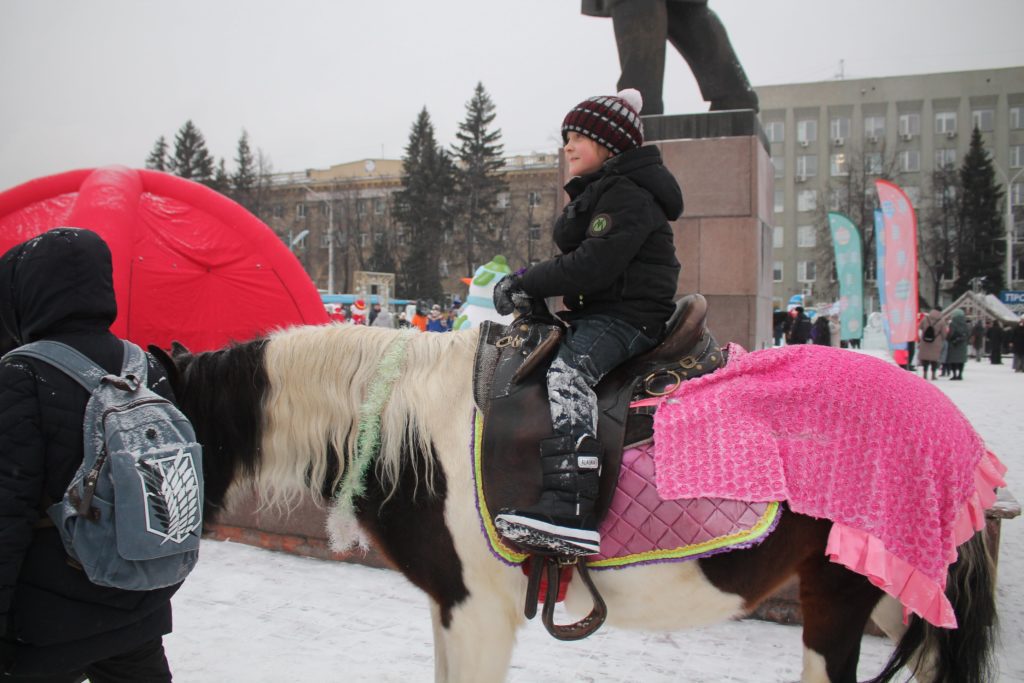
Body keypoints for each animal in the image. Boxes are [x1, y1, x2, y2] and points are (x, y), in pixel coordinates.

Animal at [151, 321, 999, 683]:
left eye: (174, 421)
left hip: (839, 599)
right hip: (894, 591)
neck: (400, 420)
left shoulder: (477, 610)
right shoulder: (451, 606)